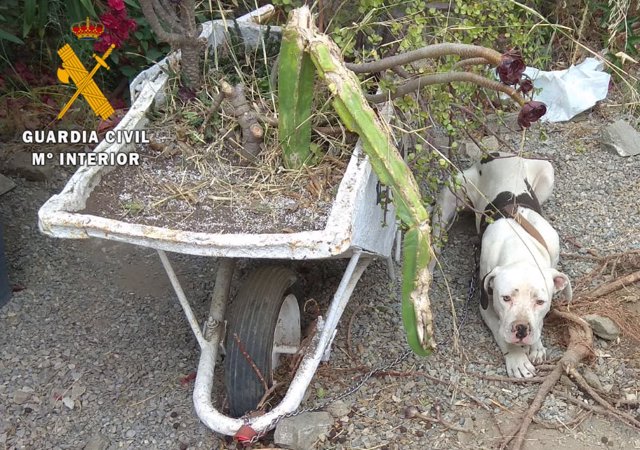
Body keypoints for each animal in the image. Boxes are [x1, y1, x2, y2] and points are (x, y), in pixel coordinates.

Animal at [432, 153, 572, 378]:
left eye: (540, 302)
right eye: (505, 298)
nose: (522, 328)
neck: (521, 252)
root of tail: (495, 154)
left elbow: (540, 322)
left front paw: (537, 345)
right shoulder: (486, 304)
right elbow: (501, 332)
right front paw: (517, 358)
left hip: (547, 173)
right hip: (450, 197)